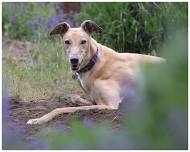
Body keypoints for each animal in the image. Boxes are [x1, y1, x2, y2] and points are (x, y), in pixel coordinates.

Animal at [26, 19, 164, 124]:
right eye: (67, 42)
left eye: (83, 41)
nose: (74, 60)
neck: (94, 63)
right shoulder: (94, 99)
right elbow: (76, 99)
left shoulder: (109, 105)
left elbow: (61, 109)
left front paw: (38, 119)